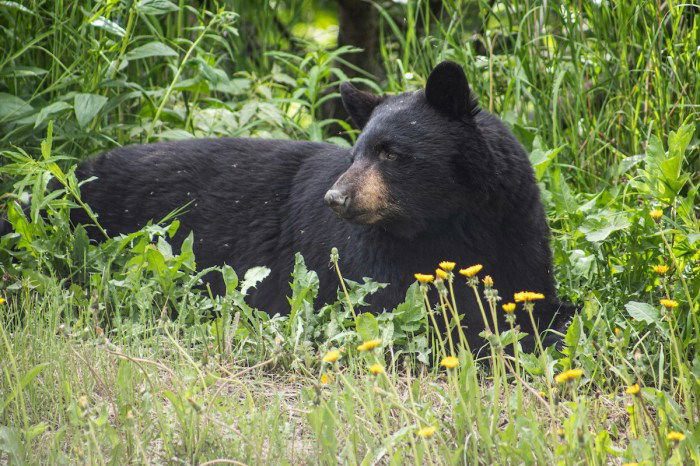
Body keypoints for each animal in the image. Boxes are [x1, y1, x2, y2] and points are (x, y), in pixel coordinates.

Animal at [9, 61, 576, 346]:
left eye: (391, 152)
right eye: (357, 150)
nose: (336, 197)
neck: (449, 224)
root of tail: (59, 182)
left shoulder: (515, 225)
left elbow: (531, 294)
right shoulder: (365, 261)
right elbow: (400, 309)